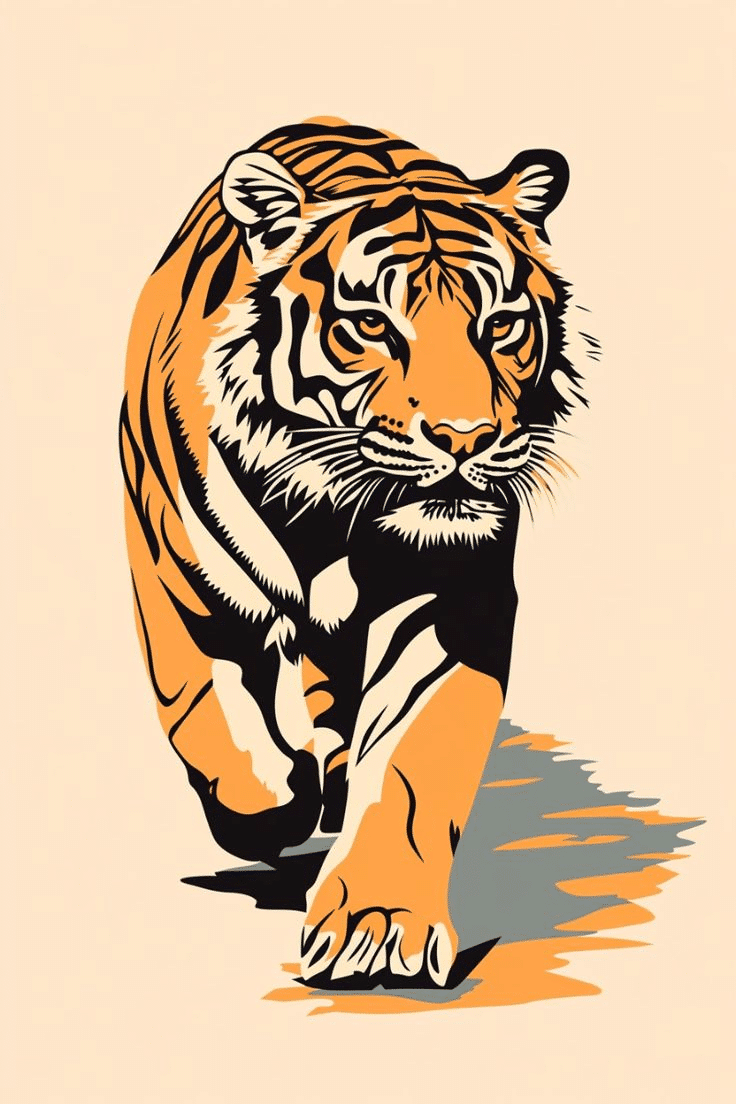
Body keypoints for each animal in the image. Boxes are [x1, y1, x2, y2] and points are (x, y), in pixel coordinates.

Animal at [120, 116, 586, 989]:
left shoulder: (449, 606)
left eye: (500, 326)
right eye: (372, 326)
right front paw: (277, 802)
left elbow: (409, 761)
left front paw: (377, 927)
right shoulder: (182, 584)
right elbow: (214, 717)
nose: (465, 439)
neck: (332, 516)